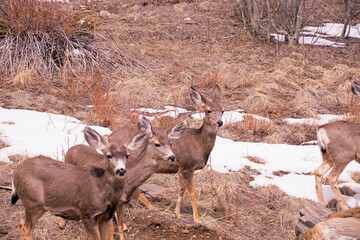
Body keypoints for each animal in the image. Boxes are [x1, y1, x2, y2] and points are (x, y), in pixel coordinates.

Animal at [11, 125, 149, 240]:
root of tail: (16, 171)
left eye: (127, 155)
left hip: (38, 205)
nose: (121, 170)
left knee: (21, 221)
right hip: (32, 202)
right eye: (109, 155)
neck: (102, 191)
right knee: (28, 227)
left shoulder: (105, 217)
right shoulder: (87, 214)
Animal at [111, 84, 224, 223]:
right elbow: (192, 192)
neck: (198, 143)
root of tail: (110, 137)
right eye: (208, 110)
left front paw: (177, 214)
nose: (219, 122)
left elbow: (181, 189)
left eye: (223, 110)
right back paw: (151, 207)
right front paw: (197, 219)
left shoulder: (181, 168)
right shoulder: (187, 166)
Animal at [314, 81, 360, 210]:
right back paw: (345, 207)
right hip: (344, 156)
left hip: (329, 155)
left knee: (318, 172)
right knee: (331, 178)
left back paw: (322, 204)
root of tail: (321, 129)